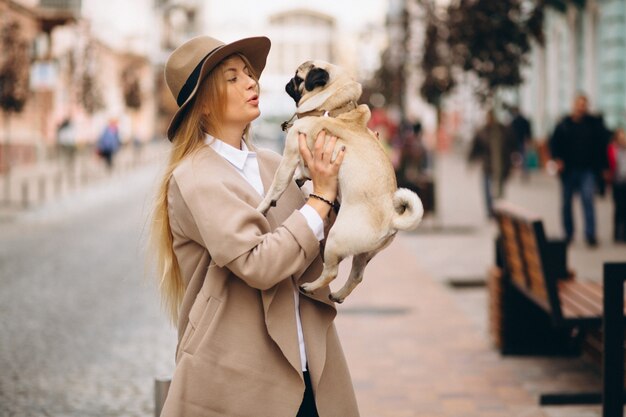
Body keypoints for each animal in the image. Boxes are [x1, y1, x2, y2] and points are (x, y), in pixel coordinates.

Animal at [256, 60, 422, 302]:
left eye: (297, 78)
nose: (287, 82)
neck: (332, 108)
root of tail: (391, 219)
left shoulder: (291, 153)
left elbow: (276, 186)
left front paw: (263, 206)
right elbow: (302, 172)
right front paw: (300, 178)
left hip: (336, 239)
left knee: (332, 272)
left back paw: (310, 287)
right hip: (364, 254)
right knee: (357, 275)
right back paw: (338, 295)